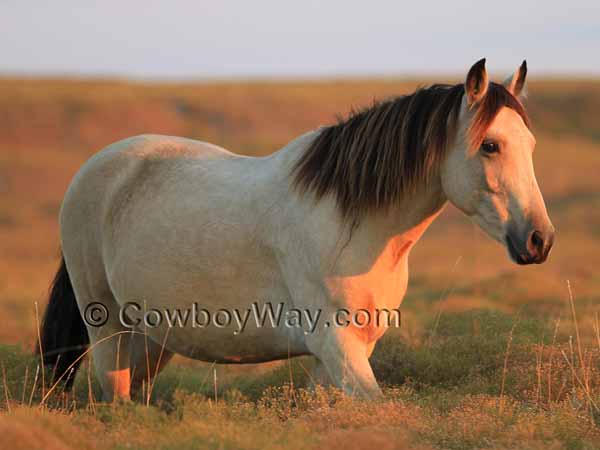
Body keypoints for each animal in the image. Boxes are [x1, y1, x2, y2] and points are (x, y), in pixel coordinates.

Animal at [38, 59, 552, 400]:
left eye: (530, 144)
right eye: (490, 145)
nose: (539, 240)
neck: (353, 226)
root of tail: (97, 168)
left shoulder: (341, 355)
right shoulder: (337, 345)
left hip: (151, 339)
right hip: (108, 329)